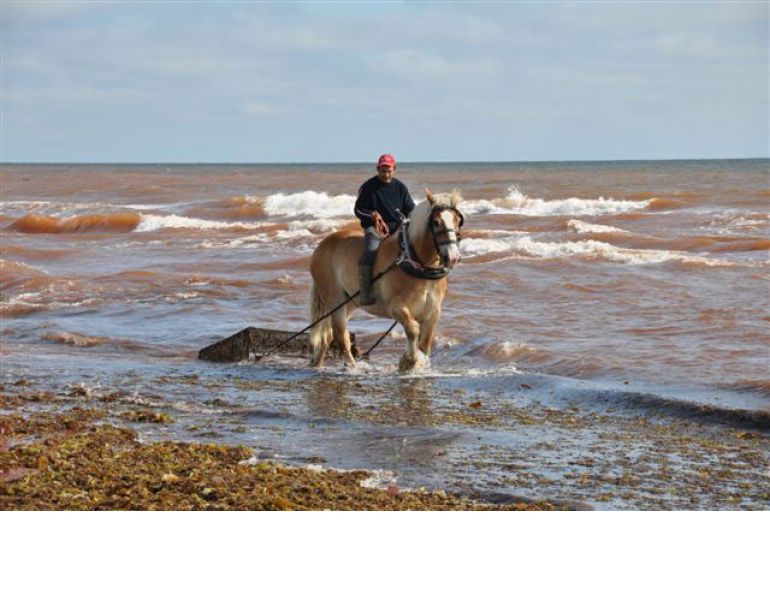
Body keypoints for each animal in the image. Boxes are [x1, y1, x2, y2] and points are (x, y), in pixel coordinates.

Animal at [308, 189, 465, 372]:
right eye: (436, 222)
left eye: (457, 220)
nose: (453, 257)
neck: (416, 266)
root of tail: (322, 246)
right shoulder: (397, 308)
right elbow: (413, 330)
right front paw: (410, 360)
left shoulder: (432, 313)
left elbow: (425, 343)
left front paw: (416, 363)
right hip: (335, 300)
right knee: (341, 336)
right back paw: (353, 367)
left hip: (350, 303)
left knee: (328, 336)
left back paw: (318, 365)